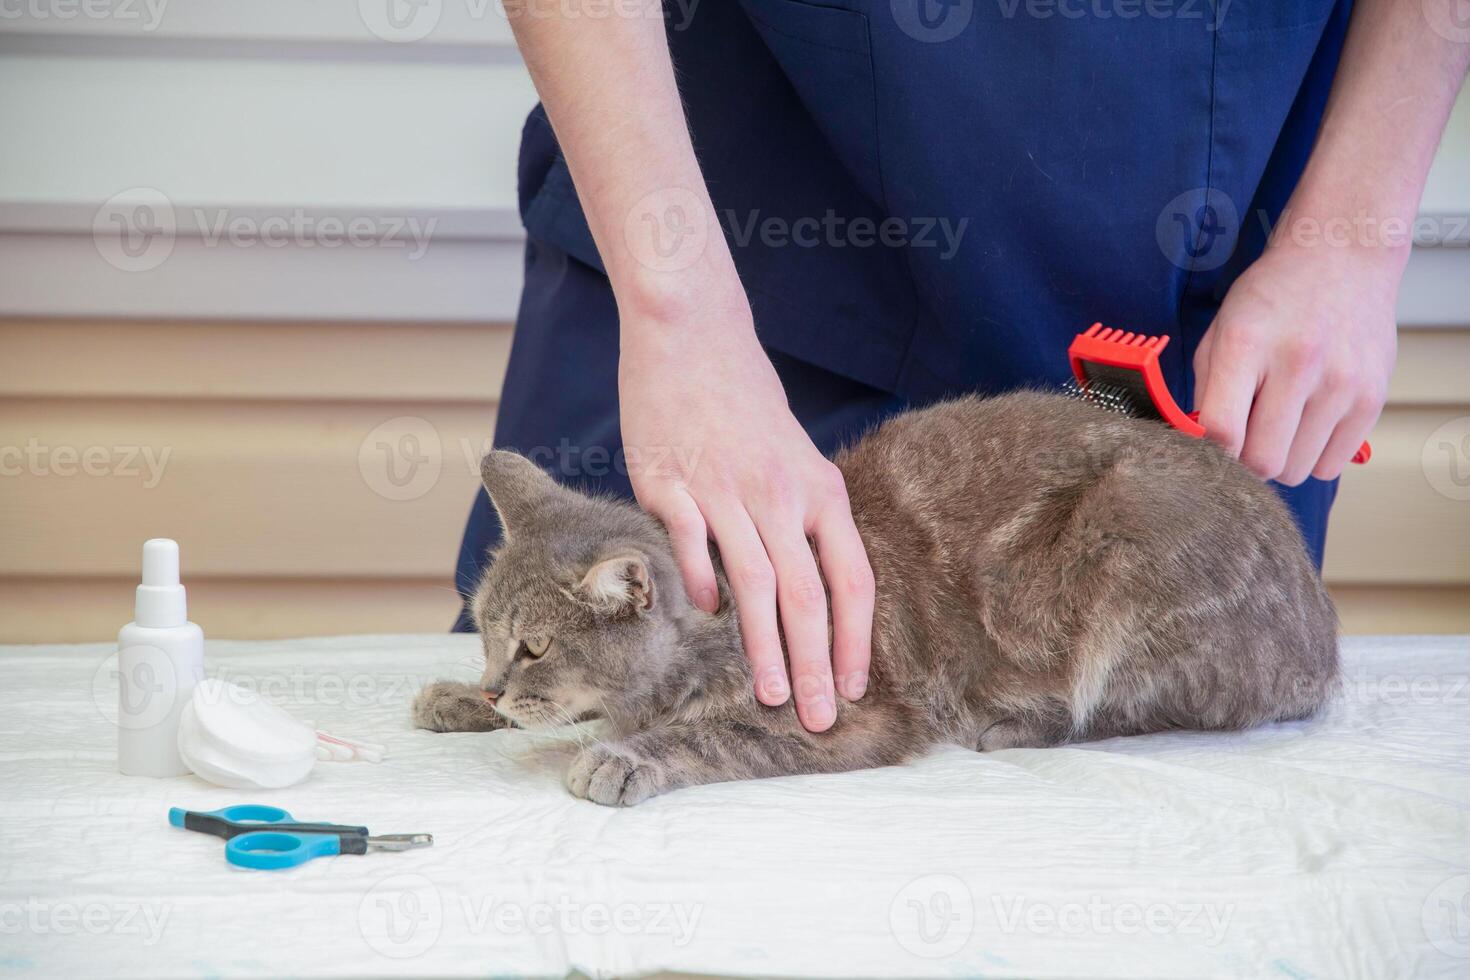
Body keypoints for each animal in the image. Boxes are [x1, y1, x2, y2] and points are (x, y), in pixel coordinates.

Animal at [417, 390, 1346, 805]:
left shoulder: (846, 717)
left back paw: (1014, 723)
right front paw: (458, 698)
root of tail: (1323, 633)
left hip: (1128, 543)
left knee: (1137, 706)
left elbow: (713, 735)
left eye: (536, 645)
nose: (493, 684)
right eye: (487, 635)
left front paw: (624, 756)